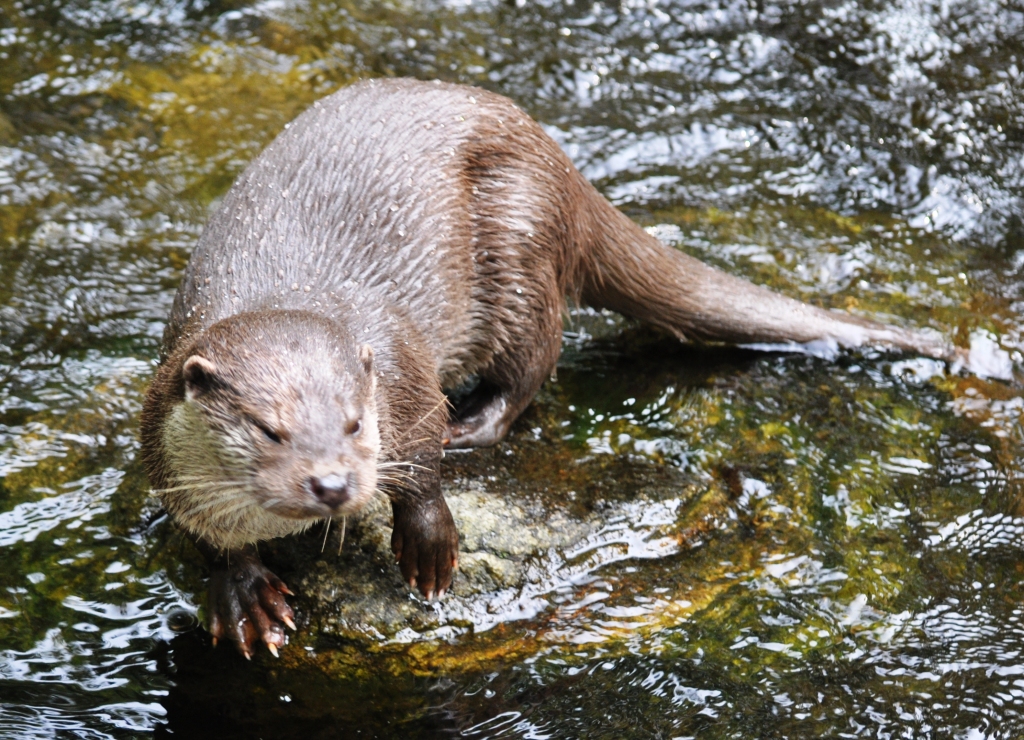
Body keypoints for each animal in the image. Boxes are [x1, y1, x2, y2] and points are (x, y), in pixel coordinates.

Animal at [140, 78, 954, 655]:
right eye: (269, 430)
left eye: (354, 423)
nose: (334, 484)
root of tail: (555, 158)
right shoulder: (166, 455)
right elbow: (203, 539)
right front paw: (244, 592)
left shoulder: (402, 375)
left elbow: (422, 462)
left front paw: (429, 549)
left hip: (519, 251)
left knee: (534, 361)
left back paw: (476, 422)